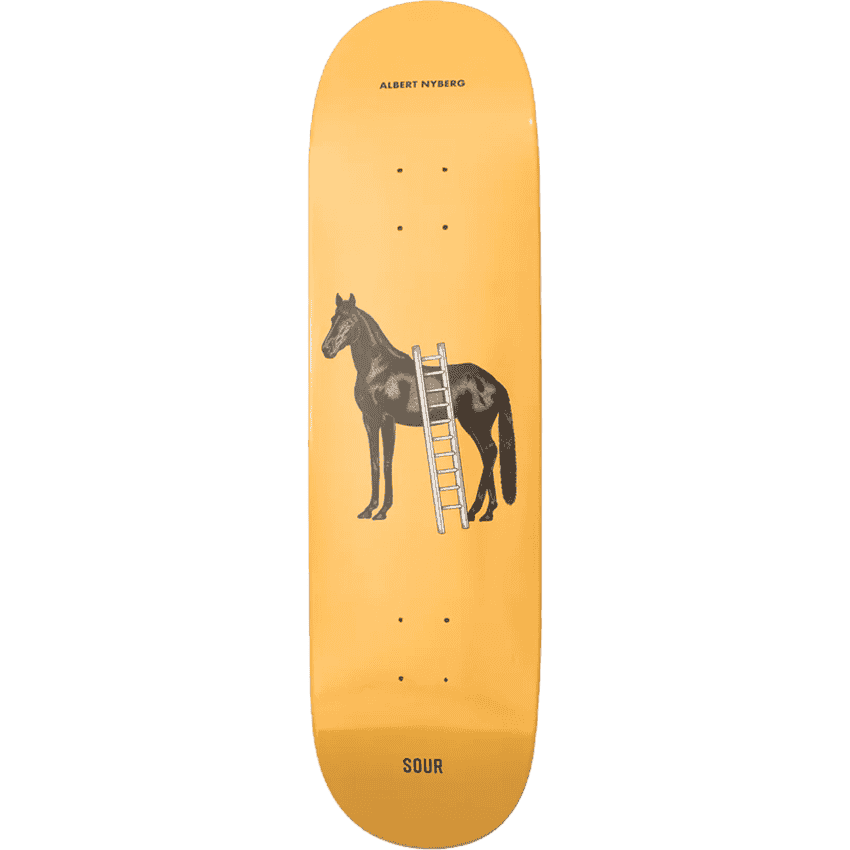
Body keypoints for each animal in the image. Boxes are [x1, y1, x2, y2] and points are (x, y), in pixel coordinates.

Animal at [321, 293, 516, 522]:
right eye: (333, 319)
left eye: (349, 321)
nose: (326, 349)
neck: (379, 370)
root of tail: (495, 382)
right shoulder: (369, 421)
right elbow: (375, 463)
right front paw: (369, 509)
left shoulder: (387, 420)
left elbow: (387, 463)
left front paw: (383, 510)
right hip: (474, 426)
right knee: (487, 455)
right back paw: (486, 512)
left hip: (477, 425)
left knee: (490, 453)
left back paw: (474, 510)